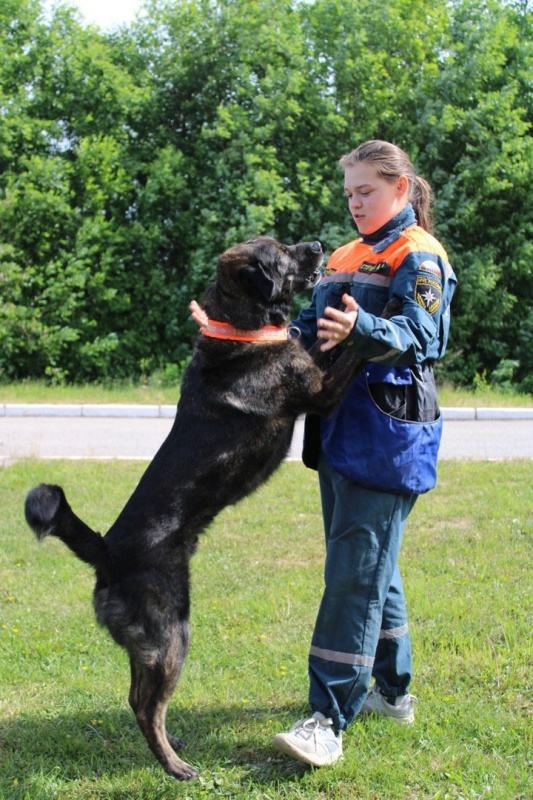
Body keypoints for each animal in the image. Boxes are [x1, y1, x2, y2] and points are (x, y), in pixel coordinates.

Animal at [23, 233, 400, 780]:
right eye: (282, 253)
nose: (315, 243)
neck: (243, 329)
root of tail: (105, 551)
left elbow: (329, 345)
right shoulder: (321, 391)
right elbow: (350, 350)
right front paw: (383, 316)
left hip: (151, 643)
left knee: (137, 696)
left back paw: (172, 745)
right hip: (172, 634)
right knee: (147, 705)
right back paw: (176, 766)